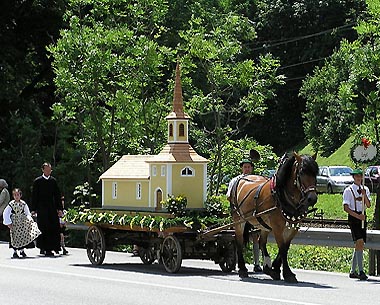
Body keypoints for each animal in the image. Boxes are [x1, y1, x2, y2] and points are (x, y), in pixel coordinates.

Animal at [229, 151, 318, 282]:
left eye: (316, 172)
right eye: (302, 172)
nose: (312, 198)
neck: (280, 195)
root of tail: (241, 178)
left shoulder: (294, 227)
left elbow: (285, 247)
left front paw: (275, 269)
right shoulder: (277, 227)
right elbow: (282, 248)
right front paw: (287, 273)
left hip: (263, 223)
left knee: (261, 242)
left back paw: (267, 267)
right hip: (239, 220)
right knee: (239, 241)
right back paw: (242, 269)